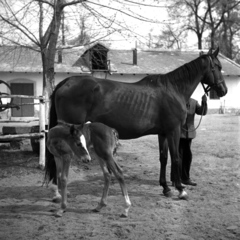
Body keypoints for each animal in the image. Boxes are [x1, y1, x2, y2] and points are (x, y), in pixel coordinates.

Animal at [46, 47, 228, 199]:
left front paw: (166, 188)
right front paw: (180, 189)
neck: (173, 89)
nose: (223, 90)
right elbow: (176, 157)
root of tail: (66, 82)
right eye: (218, 67)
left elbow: (163, 158)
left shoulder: (163, 133)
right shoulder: (173, 131)